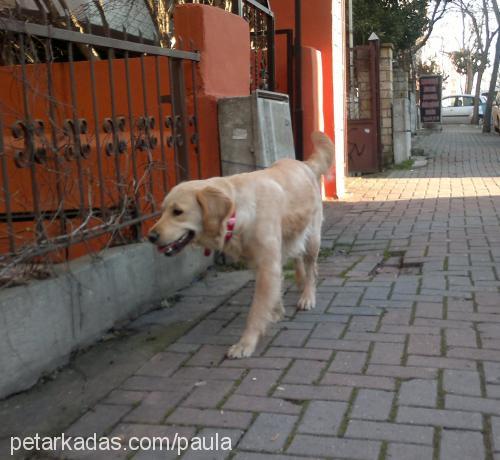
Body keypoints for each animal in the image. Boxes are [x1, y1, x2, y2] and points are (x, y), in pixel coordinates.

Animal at [148, 131, 336, 358]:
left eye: (178, 212)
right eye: (162, 210)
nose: (150, 236)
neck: (237, 213)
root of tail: (304, 164)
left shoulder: (267, 265)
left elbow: (256, 310)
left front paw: (245, 343)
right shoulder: (262, 263)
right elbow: (272, 293)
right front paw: (275, 312)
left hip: (313, 238)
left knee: (311, 268)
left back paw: (307, 296)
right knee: (297, 258)